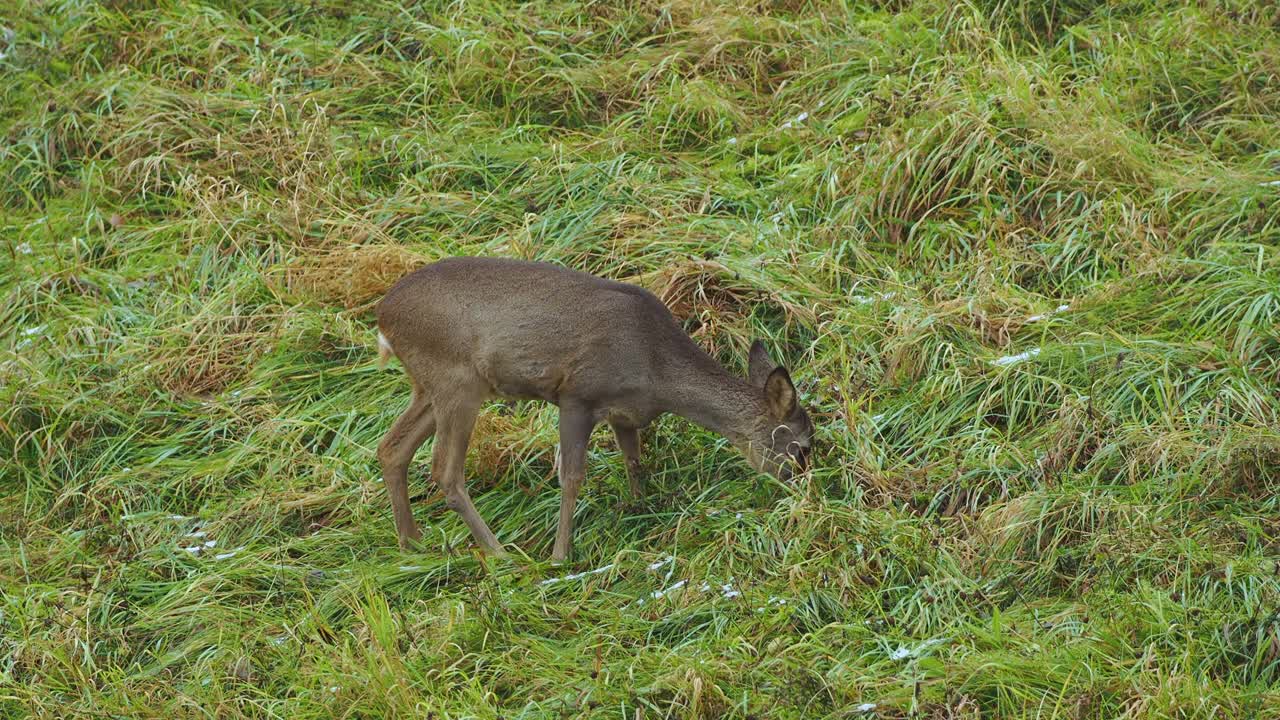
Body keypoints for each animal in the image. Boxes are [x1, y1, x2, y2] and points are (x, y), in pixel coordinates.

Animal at [373, 254, 808, 558]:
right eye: (802, 446)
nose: (802, 490)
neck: (656, 370)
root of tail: (382, 318)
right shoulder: (577, 395)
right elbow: (571, 477)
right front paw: (560, 555)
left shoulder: (624, 414)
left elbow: (634, 462)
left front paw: (640, 509)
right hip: (456, 380)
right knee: (445, 471)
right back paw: (499, 552)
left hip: (429, 386)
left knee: (391, 448)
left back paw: (412, 545)